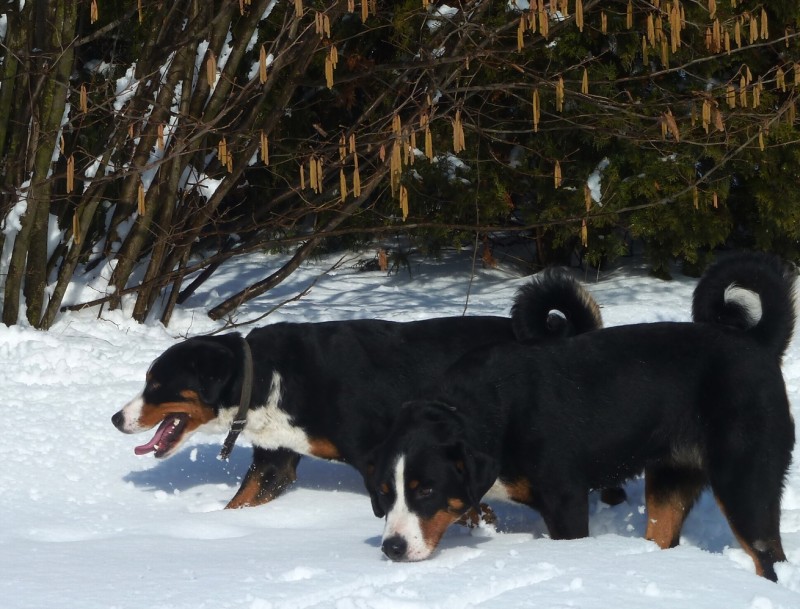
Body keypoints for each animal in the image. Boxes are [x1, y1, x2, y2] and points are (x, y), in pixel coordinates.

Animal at [111, 270, 600, 508]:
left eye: (157, 384)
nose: (116, 418)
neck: (267, 379)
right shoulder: (274, 464)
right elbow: (239, 502)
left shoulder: (375, 455)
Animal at [368, 252, 792, 580]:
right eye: (385, 493)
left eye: (426, 489)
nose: (392, 547)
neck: (491, 410)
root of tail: (756, 343)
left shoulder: (565, 501)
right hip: (671, 481)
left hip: (745, 483)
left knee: (769, 557)